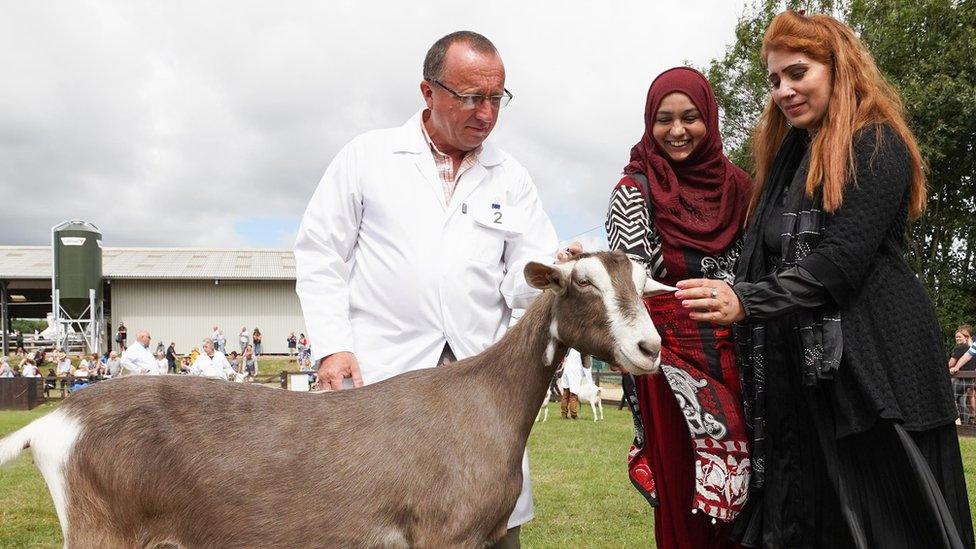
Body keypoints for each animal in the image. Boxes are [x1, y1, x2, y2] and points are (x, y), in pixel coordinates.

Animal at [1, 250, 672, 544]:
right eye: (582, 281)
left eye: (644, 285)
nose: (649, 347)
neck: (486, 401)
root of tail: (53, 422)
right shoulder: (443, 534)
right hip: (102, 531)